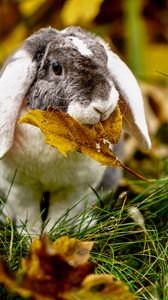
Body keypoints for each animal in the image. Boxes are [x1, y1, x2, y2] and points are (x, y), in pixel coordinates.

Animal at [0, 27, 151, 236]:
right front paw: (31, 237)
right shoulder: (19, 186)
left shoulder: (75, 188)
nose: (102, 105)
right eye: (56, 67)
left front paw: (52, 235)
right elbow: (28, 214)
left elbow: (62, 213)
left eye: (105, 60)